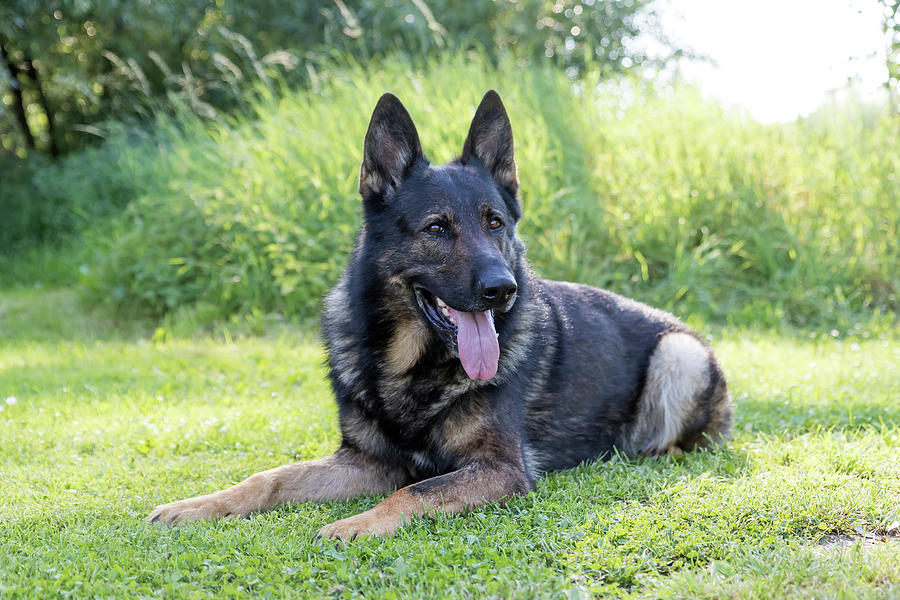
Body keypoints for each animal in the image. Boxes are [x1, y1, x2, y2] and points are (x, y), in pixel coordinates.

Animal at [149, 91, 732, 540]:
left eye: (496, 223)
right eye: (436, 228)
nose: (503, 289)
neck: (411, 365)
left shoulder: (499, 469)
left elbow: (416, 490)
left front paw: (354, 524)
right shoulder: (366, 461)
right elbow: (269, 478)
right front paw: (197, 505)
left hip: (678, 354)